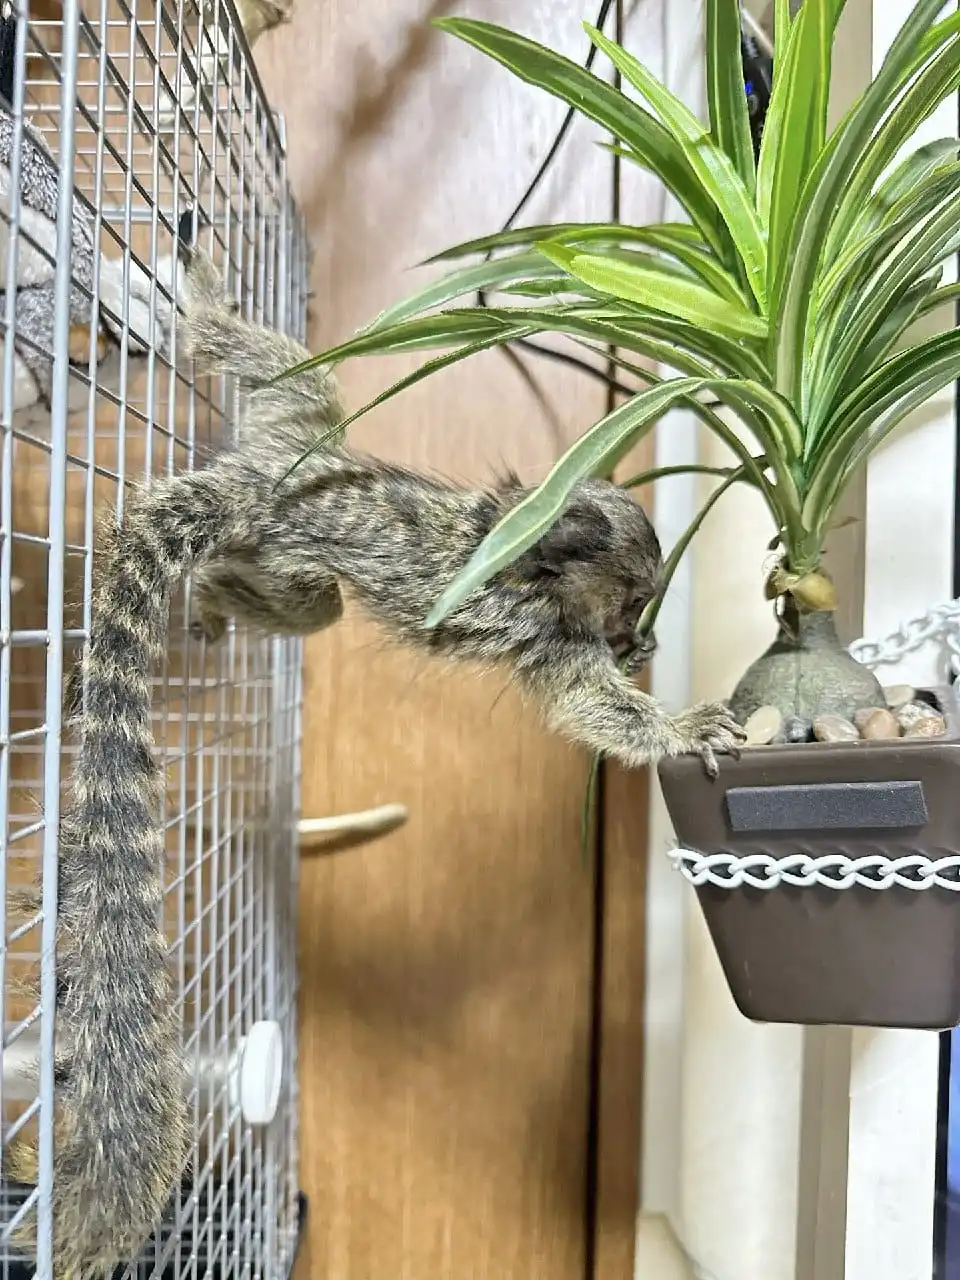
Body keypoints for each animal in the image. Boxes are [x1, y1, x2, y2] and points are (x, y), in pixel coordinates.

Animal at [13, 235, 744, 1278]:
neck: (513, 546)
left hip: (292, 437)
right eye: (635, 594)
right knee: (310, 598)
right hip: (290, 539)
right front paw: (678, 720)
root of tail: (258, 486)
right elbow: (594, 706)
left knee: (300, 403)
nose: (640, 626)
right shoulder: (548, 639)